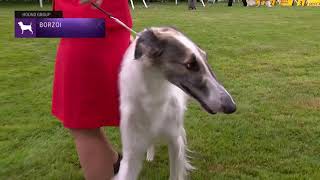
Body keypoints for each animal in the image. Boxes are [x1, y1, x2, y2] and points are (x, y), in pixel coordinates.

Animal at [116, 27, 236, 180]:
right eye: (190, 65)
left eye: (205, 58)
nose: (231, 106)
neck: (153, 96)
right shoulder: (131, 153)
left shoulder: (175, 142)